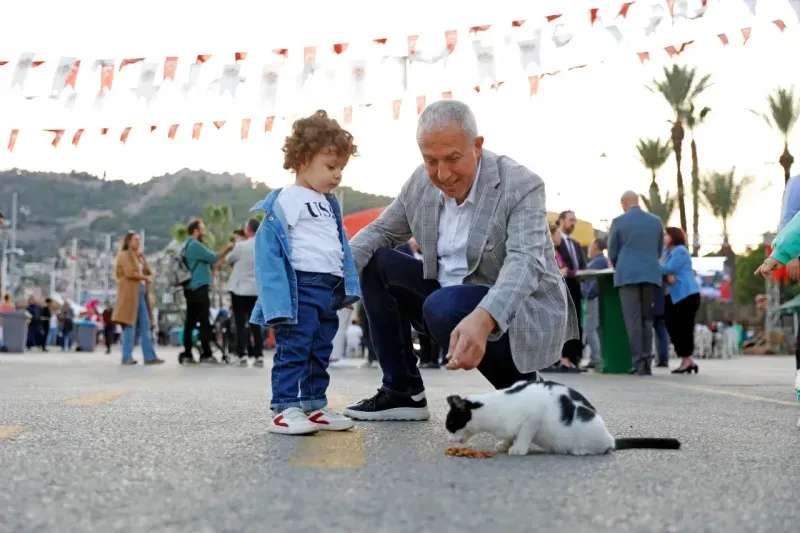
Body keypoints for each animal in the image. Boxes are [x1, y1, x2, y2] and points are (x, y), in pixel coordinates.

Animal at [446, 378, 680, 454]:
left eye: (450, 424)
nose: (449, 439)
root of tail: (611, 438)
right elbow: (512, 435)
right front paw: (505, 444)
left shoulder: (533, 418)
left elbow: (524, 434)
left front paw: (518, 449)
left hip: (589, 427)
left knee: (604, 449)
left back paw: (580, 451)